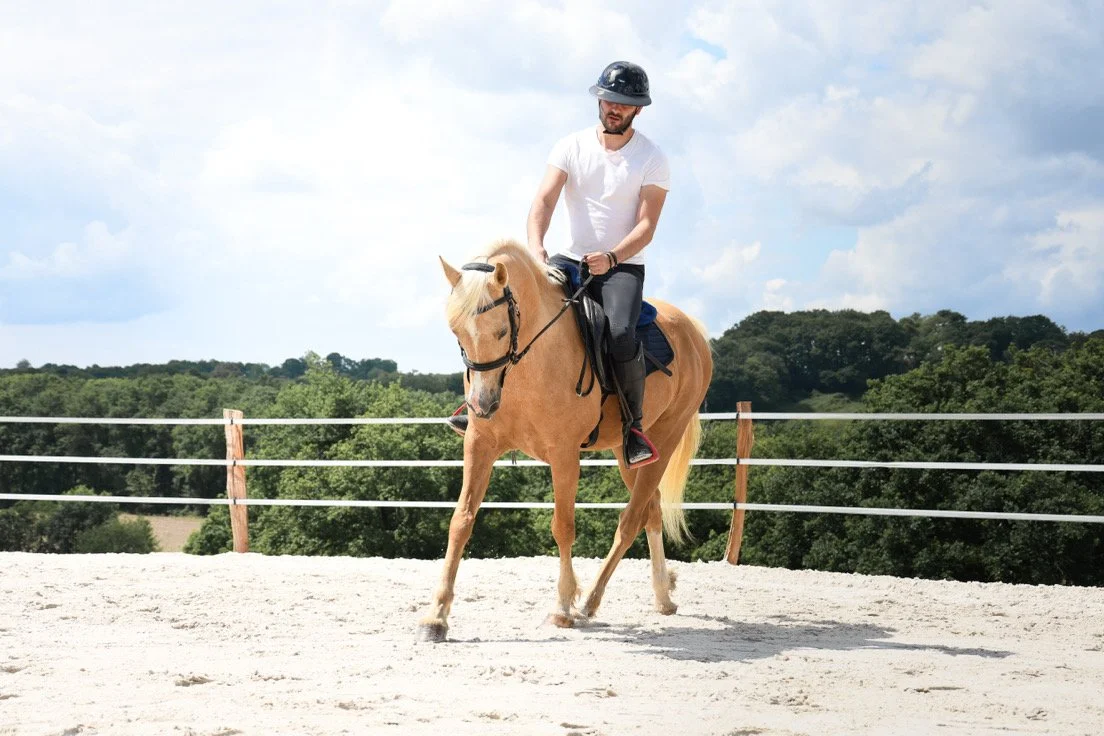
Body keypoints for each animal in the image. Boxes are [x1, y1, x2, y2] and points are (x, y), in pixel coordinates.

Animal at [420, 238, 713, 642]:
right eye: (457, 333)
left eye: (500, 332)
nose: (482, 405)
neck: (528, 365)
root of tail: (692, 330)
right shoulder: (479, 444)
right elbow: (461, 521)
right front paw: (436, 616)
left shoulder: (564, 456)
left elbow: (562, 526)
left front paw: (562, 607)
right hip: (628, 452)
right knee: (650, 509)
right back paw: (661, 595)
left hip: (666, 438)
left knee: (631, 519)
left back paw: (590, 601)